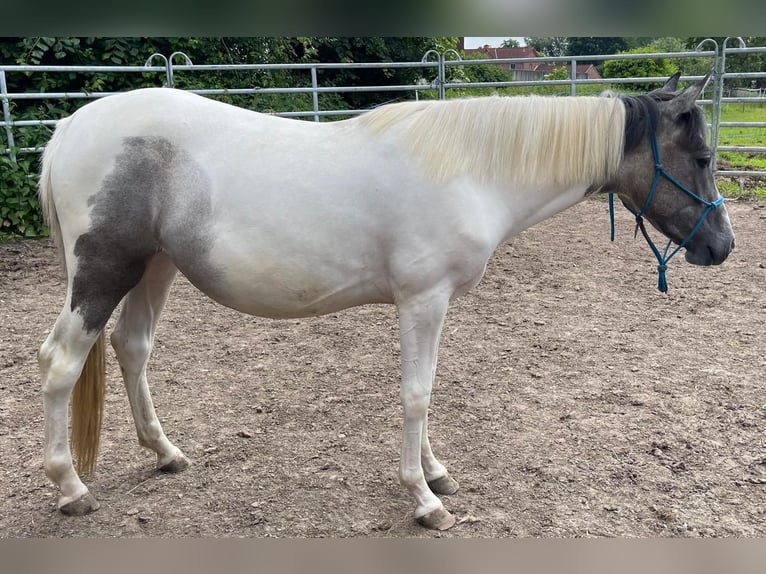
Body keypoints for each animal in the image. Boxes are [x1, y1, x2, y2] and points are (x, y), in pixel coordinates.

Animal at [37, 72, 736, 532]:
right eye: (702, 157)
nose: (722, 246)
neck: (470, 169)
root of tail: (72, 126)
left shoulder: (429, 304)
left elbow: (426, 390)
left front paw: (436, 472)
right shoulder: (423, 301)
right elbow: (416, 394)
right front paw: (425, 500)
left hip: (154, 268)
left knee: (133, 348)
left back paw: (166, 454)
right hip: (104, 273)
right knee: (60, 365)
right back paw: (71, 489)